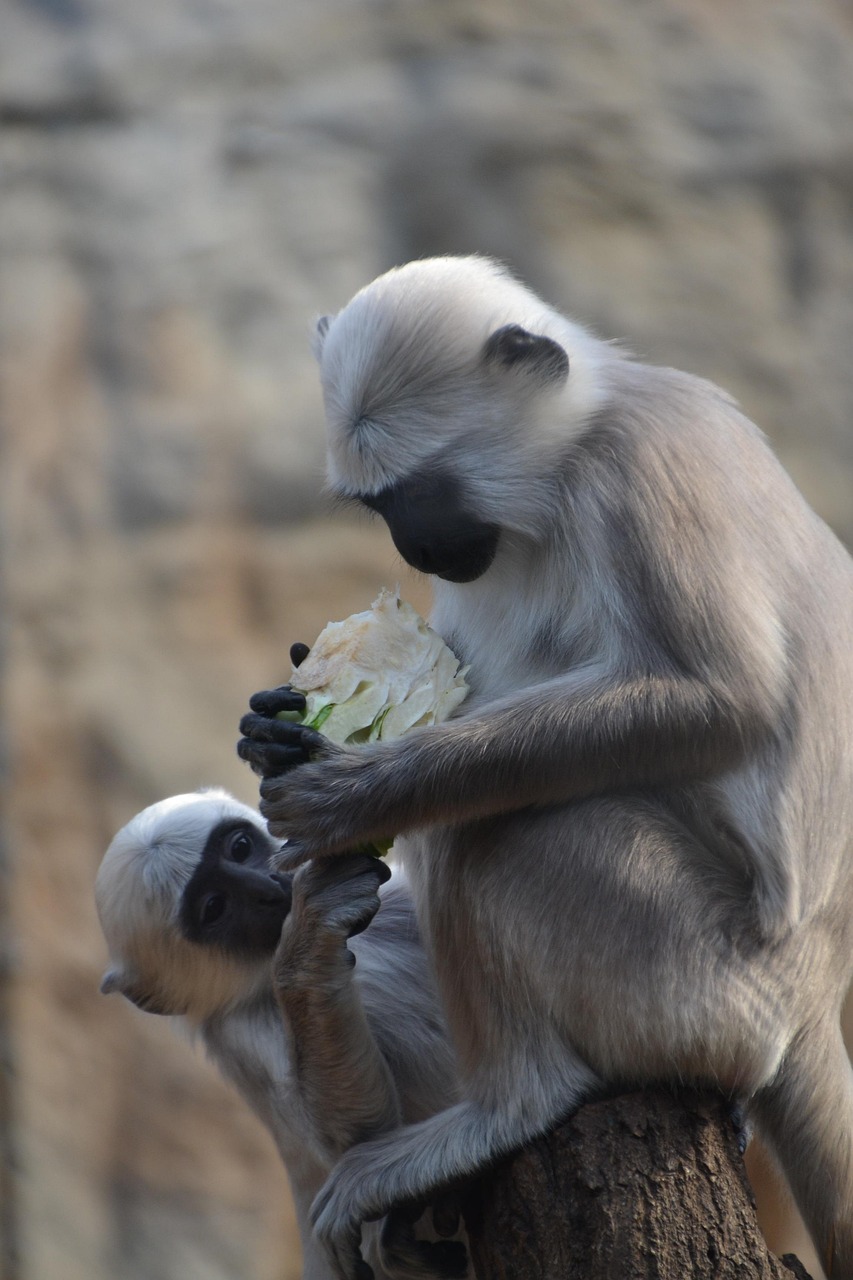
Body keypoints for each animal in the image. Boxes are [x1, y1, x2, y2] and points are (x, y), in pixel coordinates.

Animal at [97, 783, 468, 1274]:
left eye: (239, 848)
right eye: (215, 907)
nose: (267, 888)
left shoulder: (391, 901)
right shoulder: (242, 1031)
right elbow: (359, 1141)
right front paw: (312, 945)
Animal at [235, 257, 850, 1280]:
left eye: (426, 493)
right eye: (379, 505)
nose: (411, 544)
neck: (576, 448)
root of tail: (809, 1004)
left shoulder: (637, 465)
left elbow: (727, 700)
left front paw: (357, 789)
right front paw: (274, 728)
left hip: (702, 985)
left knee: (496, 832)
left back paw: (503, 1111)